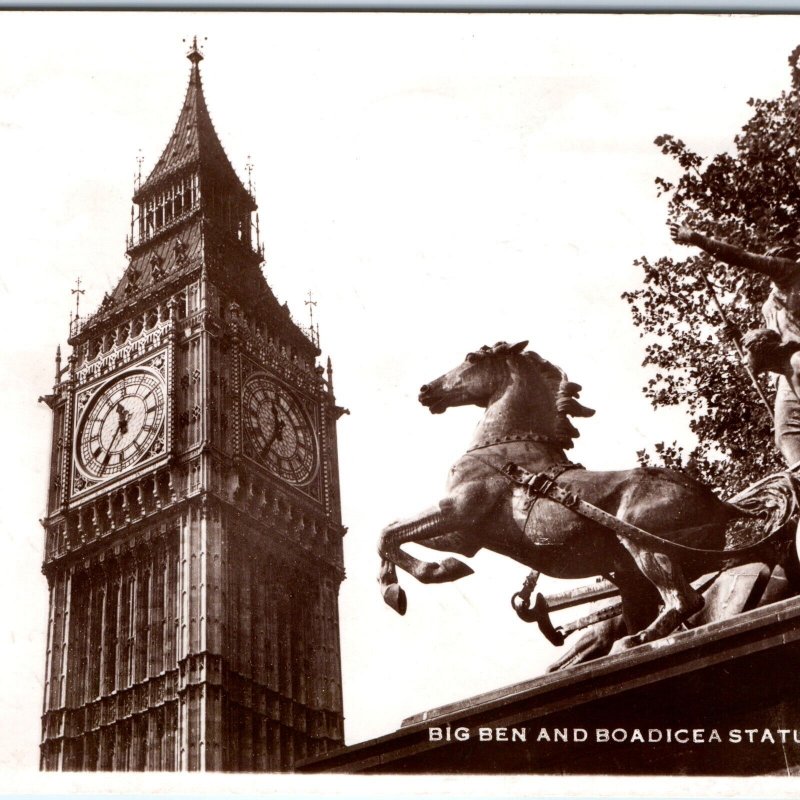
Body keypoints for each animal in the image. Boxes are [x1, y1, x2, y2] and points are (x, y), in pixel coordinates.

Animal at [378, 340, 760, 652]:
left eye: (471, 358)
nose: (426, 390)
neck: (505, 450)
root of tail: (721, 505)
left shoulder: (455, 510)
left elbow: (387, 533)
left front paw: (399, 588)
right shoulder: (466, 536)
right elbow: (397, 535)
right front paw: (443, 568)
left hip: (644, 544)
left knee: (685, 600)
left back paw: (636, 640)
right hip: (635, 570)